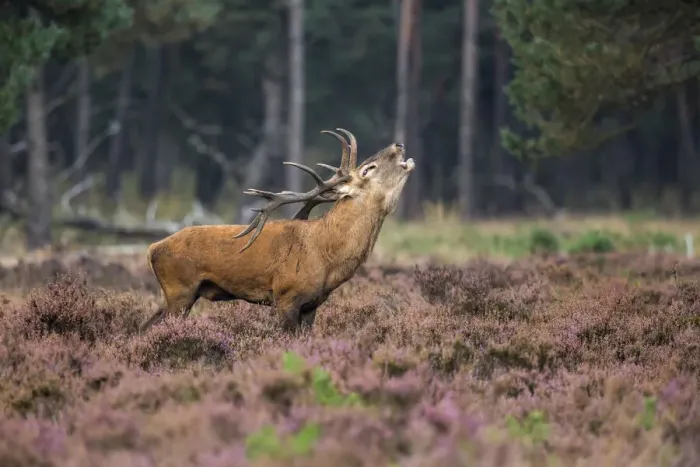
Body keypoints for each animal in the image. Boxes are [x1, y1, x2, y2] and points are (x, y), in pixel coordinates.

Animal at [139, 128, 415, 333]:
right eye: (368, 169)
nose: (399, 144)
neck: (328, 258)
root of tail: (152, 248)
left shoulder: (312, 305)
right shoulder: (285, 296)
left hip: (175, 295)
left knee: (144, 326)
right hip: (180, 291)